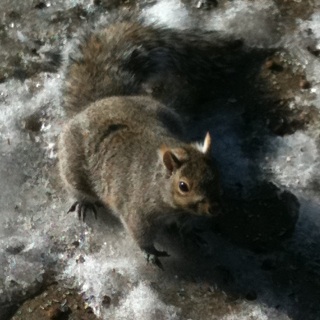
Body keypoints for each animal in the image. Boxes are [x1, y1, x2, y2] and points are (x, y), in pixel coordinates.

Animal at [58, 21, 225, 268]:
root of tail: (103, 100)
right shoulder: (136, 211)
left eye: (217, 173)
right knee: (76, 188)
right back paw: (83, 203)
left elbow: (185, 226)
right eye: (183, 186)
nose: (214, 208)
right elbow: (140, 234)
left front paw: (189, 234)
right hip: (72, 165)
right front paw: (150, 252)